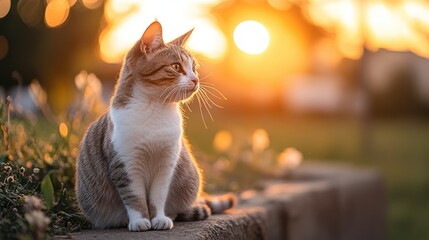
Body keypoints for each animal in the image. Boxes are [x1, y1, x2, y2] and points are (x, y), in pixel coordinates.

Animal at [74, 21, 234, 232]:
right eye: (176, 67)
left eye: (194, 68)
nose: (196, 79)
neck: (155, 108)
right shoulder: (126, 164)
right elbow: (134, 198)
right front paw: (140, 221)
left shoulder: (166, 164)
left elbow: (158, 196)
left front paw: (159, 218)